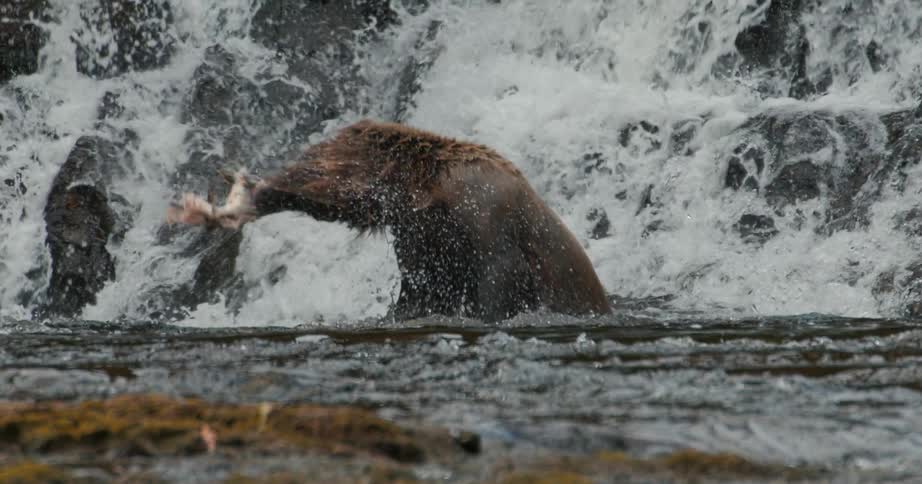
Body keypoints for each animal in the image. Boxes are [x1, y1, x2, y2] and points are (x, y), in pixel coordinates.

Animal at [167, 120, 611, 321]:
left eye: (312, 165)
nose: (261, 187)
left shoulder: (487, 226)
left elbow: (498, 288)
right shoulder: (422, 242)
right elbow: (418, 293)